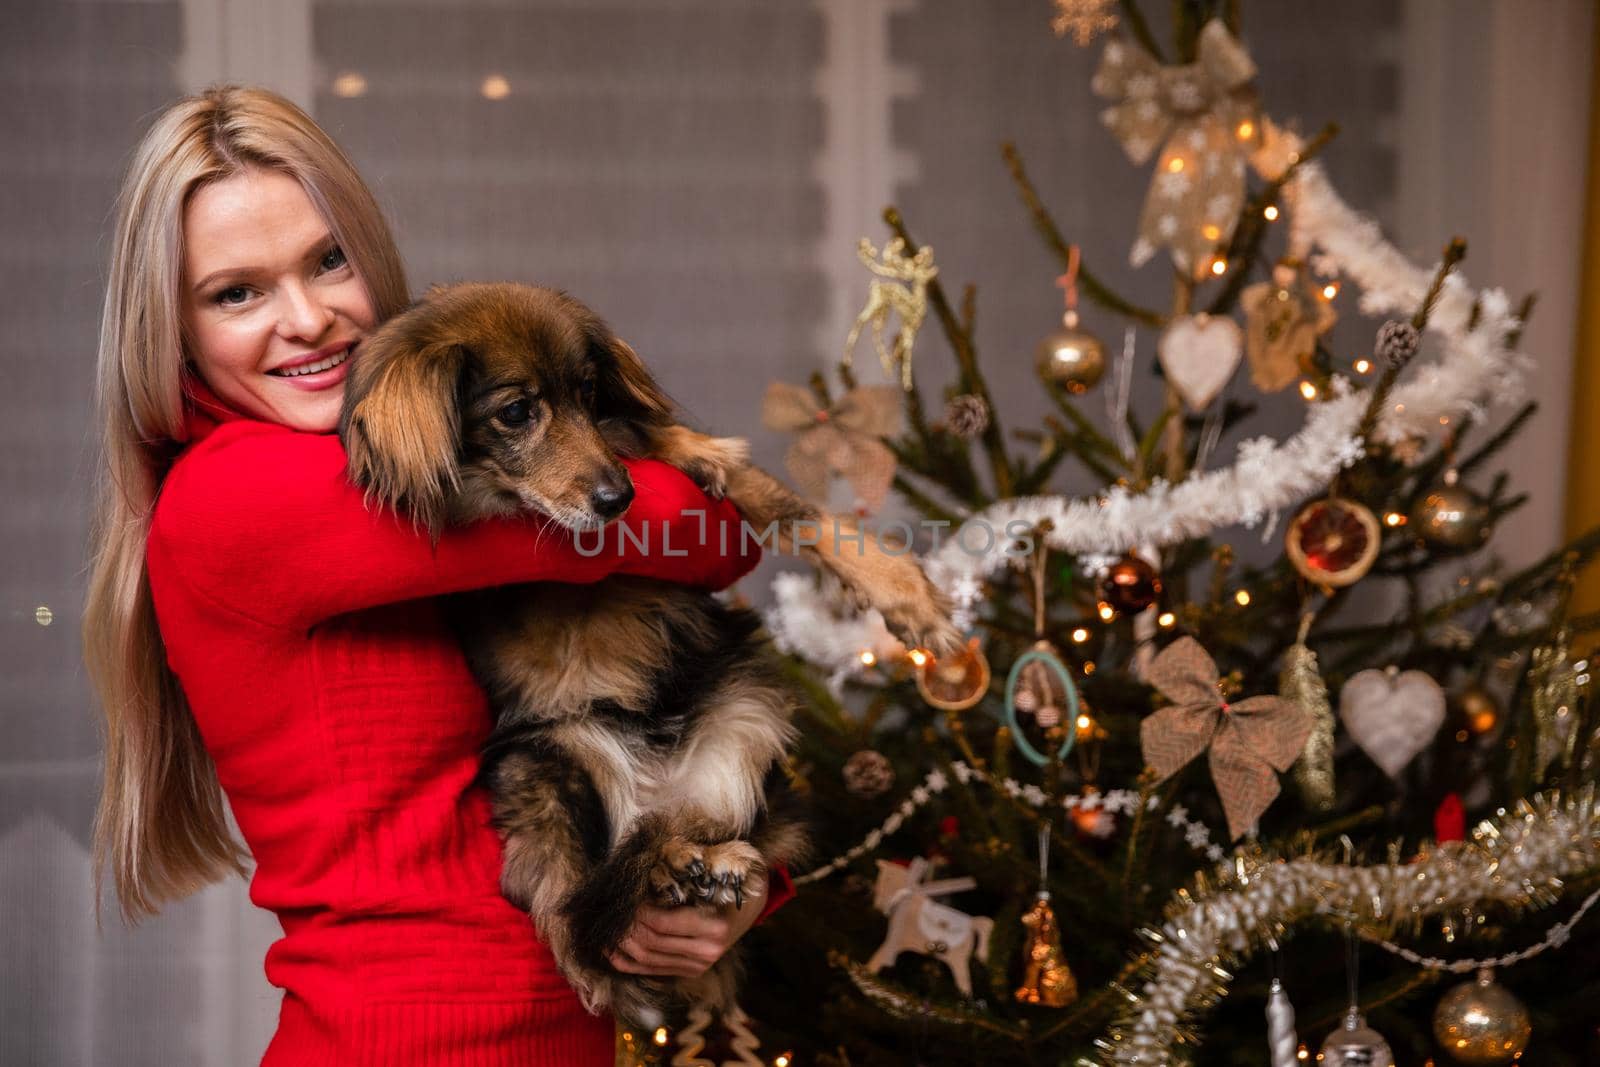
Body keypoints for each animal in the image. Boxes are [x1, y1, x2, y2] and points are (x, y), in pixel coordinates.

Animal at [337, 283, 953, 1023]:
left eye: (588, 391)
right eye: (515, 412)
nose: (620, 499)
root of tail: (657, 791)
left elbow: (788, 505)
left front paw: (904, 594)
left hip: (748, 711)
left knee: (704, 830)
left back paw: (702, 863)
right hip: (537, 767)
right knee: (578, 899)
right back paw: (658, 883)